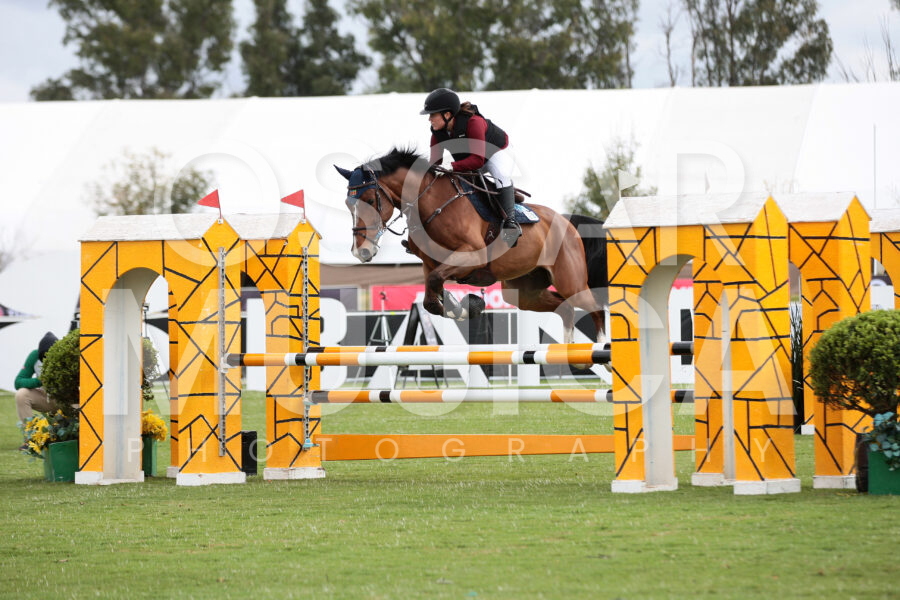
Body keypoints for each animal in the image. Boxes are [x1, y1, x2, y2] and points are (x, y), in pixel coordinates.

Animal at [335, 147, 608, 345]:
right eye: (349, 204)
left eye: (370, 200)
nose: (361, 251)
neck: (429, 203)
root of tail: (567, 221)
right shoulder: (430, 263)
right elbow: (430, 296)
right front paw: (464, 307)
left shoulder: (470, 257)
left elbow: (436, 282)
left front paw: (466, 306)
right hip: (523, 291)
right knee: (566, 308)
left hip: (570, 280)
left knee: (594, 306)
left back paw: (603, 353)